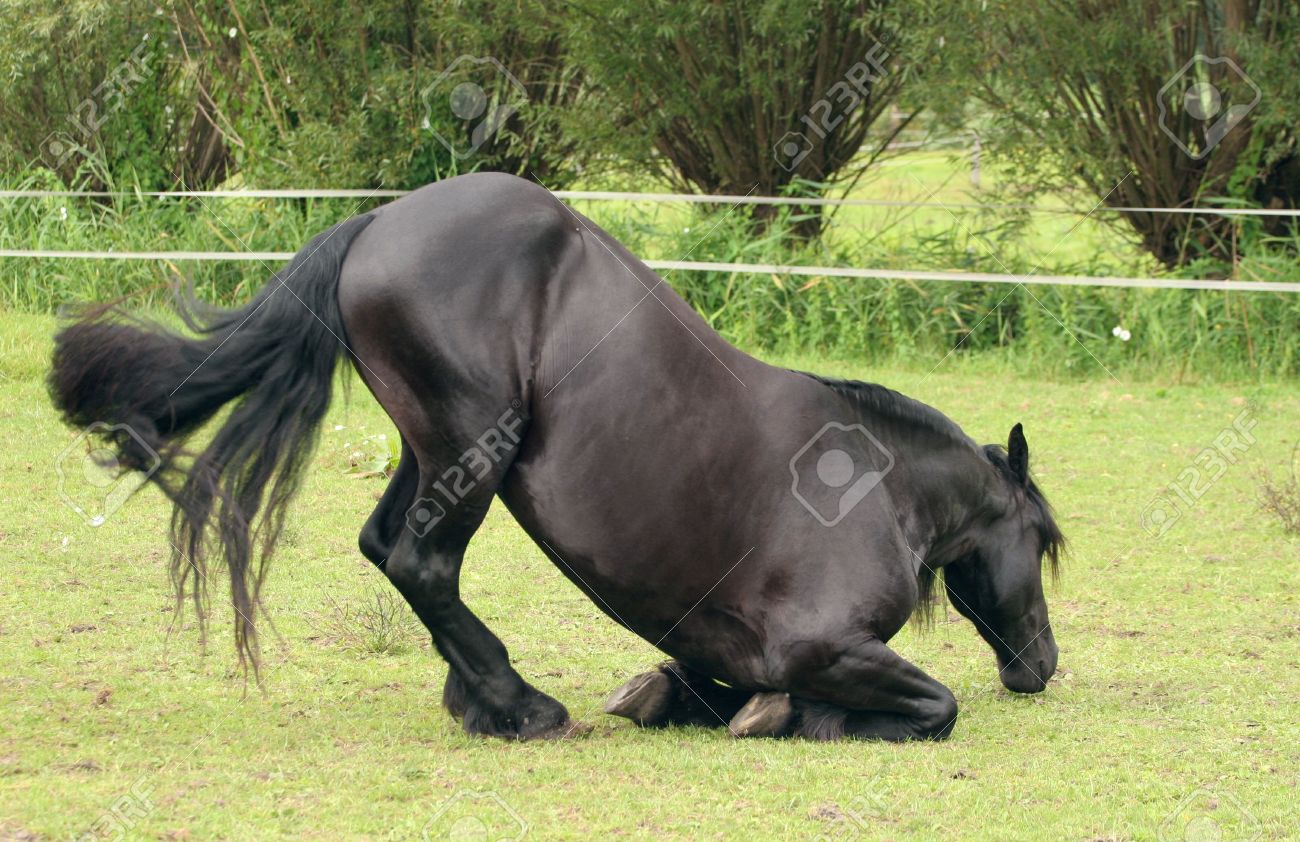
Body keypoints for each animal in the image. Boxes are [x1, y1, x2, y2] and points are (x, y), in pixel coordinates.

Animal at [48, 172, 1063, 742]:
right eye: (1046, 548)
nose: (1041, 664)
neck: (876, 494)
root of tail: (377, 221)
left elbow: (693, 681)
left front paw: (675, 698)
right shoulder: (822, 644)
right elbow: (934, 707)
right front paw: (787, 715)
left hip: (438, 445)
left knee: (391, 550)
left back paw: (479, 700)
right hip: (473, 441)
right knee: (421, 563)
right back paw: (521, 709)